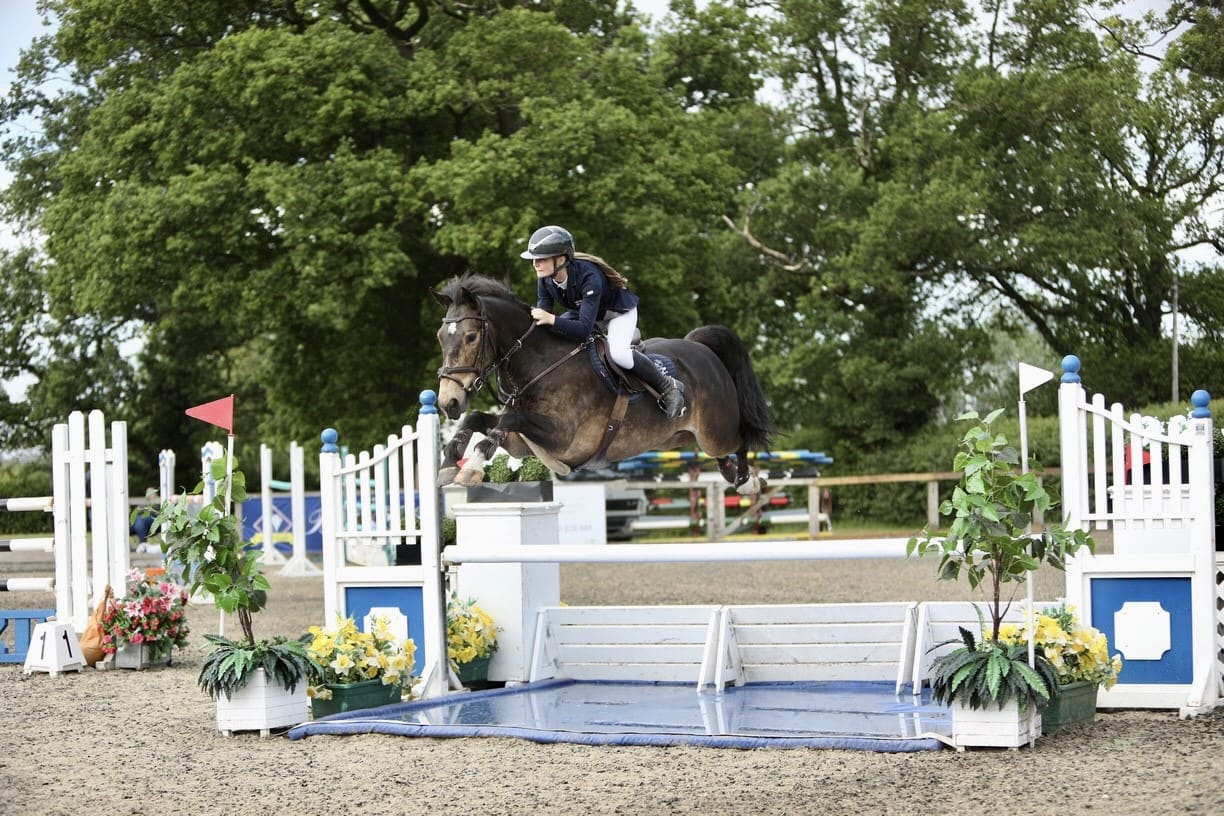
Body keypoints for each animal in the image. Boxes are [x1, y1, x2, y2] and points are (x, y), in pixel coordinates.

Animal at [433, 274, 773, 491]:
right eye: (439, 337)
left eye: (471, 337)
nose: (448, 402)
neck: (539, 365)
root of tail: (702, 349)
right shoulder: (522, 443)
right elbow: (480, 420)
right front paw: (448, 465)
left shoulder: (562, 437)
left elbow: (507, 420)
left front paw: (471, 468)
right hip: (677, 438)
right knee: (722, 452)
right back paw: (732, 474)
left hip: (715, 432)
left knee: (740, 440)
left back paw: (748, 482)